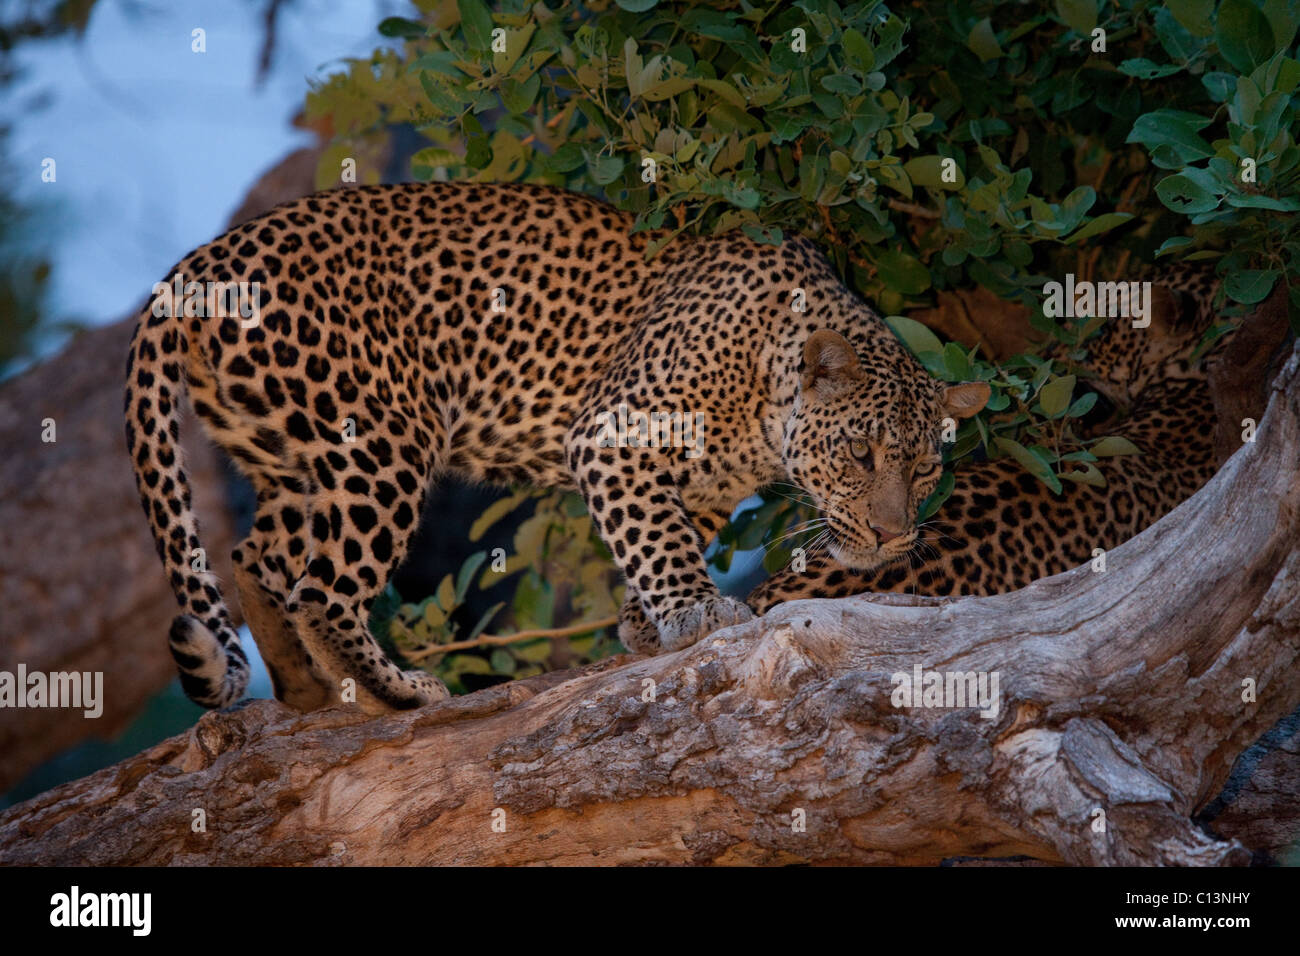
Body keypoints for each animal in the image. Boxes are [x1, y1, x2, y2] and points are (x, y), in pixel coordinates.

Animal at [126, 183, 987, 712]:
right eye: (863, 455)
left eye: (925, 468)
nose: (893, 536)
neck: (766, 393)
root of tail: (206, 258)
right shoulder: (615, 433)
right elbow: (658, 536)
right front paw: (695, 611)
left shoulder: (704, 484)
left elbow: (670, 531)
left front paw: (647, 620)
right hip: (379, 441)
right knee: (321, 589)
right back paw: (398, 691)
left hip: (297, 455)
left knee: (257, 559)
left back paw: (307, 693)